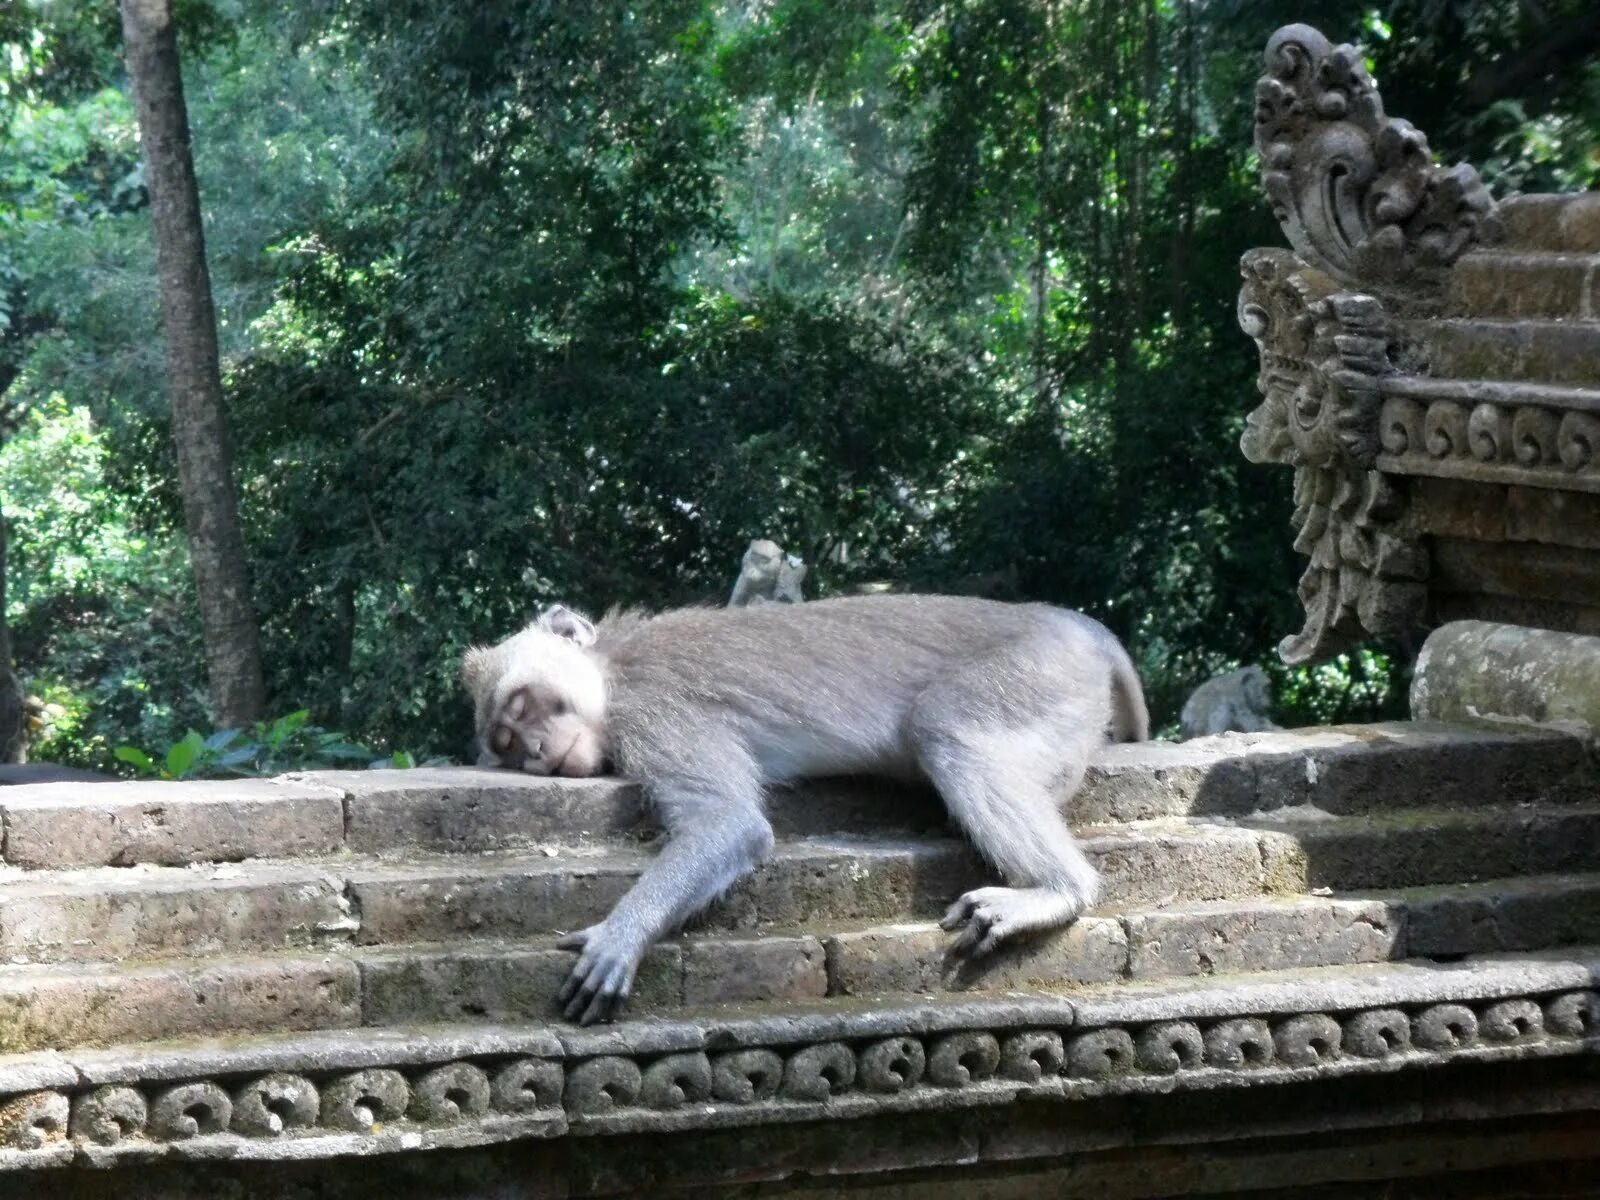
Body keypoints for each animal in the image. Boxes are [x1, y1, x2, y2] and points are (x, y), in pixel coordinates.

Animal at [461, 593, 1148, 1025]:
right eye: (508, 743)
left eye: (522, 708)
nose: (537, 753)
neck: (612, 668)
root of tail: (1074, 625)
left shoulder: (656, 712)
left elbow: (729, 826)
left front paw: (621, 935)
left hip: (1037, 674)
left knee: (946, 725)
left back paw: (1058, 890)